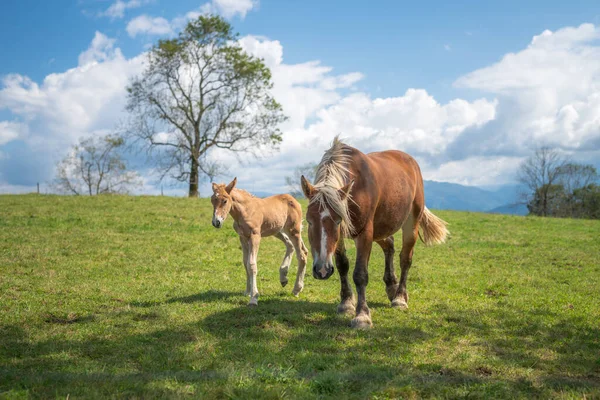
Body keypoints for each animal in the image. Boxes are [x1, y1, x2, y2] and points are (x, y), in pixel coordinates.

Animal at [211, 178, 308, 306]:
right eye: (212, 200)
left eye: (225, 201)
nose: (216, 222)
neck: (245, 211)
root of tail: (295, 201)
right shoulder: (243, 237)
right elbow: (245, 263)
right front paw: (247, 291)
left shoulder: (255, 236)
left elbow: (251, 264)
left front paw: (254, 298)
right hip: (277, 230)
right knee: (291, 246)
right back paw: (283, 277)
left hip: (293, 230)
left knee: (302, 255)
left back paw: (296, 289)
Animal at [302, 138, 448, 328]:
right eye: (309, 221)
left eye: (338, 221)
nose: (322, 270)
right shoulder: (341, 238)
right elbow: (342, 265)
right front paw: (346, 303)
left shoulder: (365, 233)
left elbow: (360, 274)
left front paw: (362, 316)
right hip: (381, 229)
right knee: (389, 246)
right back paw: (392, 287)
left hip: (411, 224)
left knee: (405, 259)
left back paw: (400, 298)